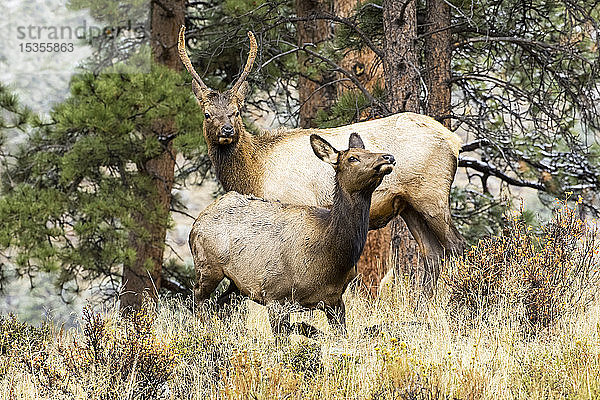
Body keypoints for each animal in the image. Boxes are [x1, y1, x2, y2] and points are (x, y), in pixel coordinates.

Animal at [189, 134, 394, 334]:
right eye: (352, 158)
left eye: (368, 150)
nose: (388, 157)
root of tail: (199, 219)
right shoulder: (275, 295)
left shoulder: (334, 299)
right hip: (207, 266)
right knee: (198, 298)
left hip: (236, 283)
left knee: (221, 303)